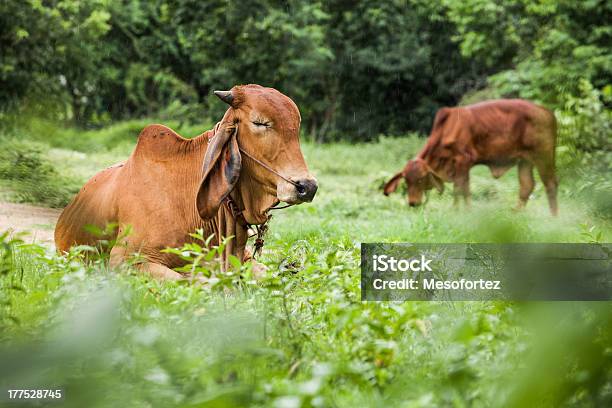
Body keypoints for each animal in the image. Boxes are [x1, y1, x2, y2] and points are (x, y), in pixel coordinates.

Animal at [384, 99, 556, 215]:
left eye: (420, 179)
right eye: (406, 180)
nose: (413, 203)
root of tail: (547, 112)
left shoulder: (464, 161)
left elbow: (461, 189)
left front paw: (461, 211)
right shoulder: (458, 166)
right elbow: (460, 188)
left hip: (544, 155)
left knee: (551, 184)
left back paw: (553, 217)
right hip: (525, 160)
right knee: (527, 186)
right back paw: (515, 213)